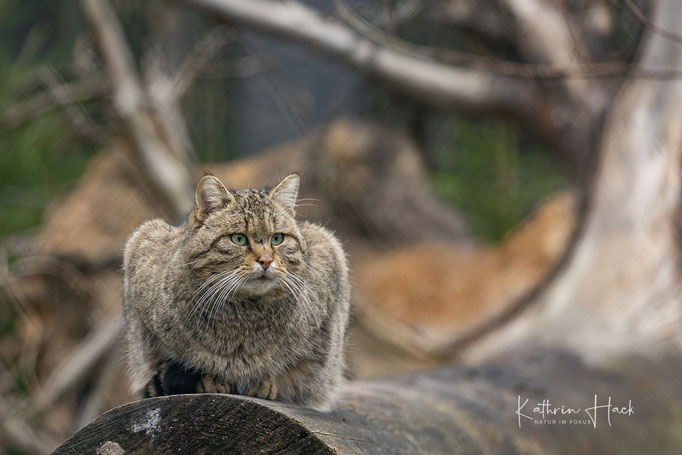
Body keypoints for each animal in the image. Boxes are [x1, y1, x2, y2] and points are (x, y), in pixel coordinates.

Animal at [120, 174, 350, 410]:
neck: (244, 313)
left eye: (277, 238)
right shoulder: (141, 246)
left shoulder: (330, 254)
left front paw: (264, 382)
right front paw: (211, 380)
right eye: (239, 238)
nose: (266, 260)